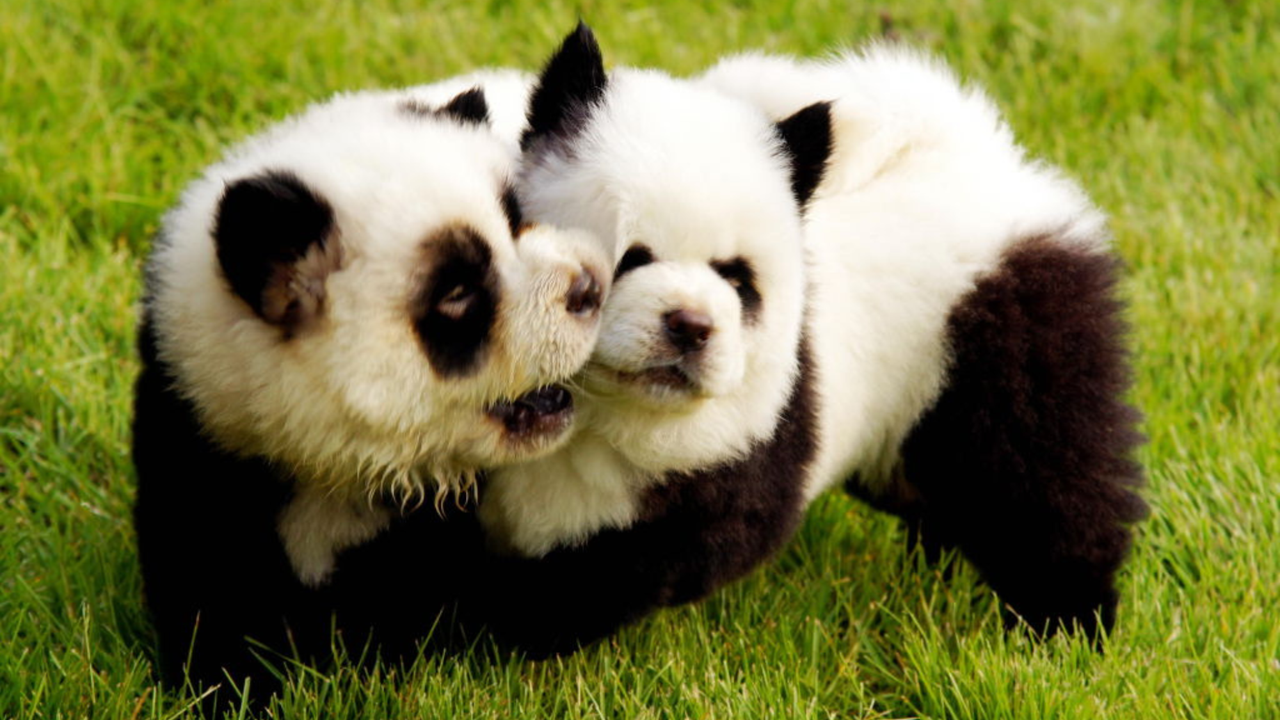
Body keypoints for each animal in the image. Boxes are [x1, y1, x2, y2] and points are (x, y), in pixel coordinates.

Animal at [132, 82, 606, 691]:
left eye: (519, 220)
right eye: (457, 293)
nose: (589, 287)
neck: (340, 464)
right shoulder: (201, 423)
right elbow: (206, 576)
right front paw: (227, 682)